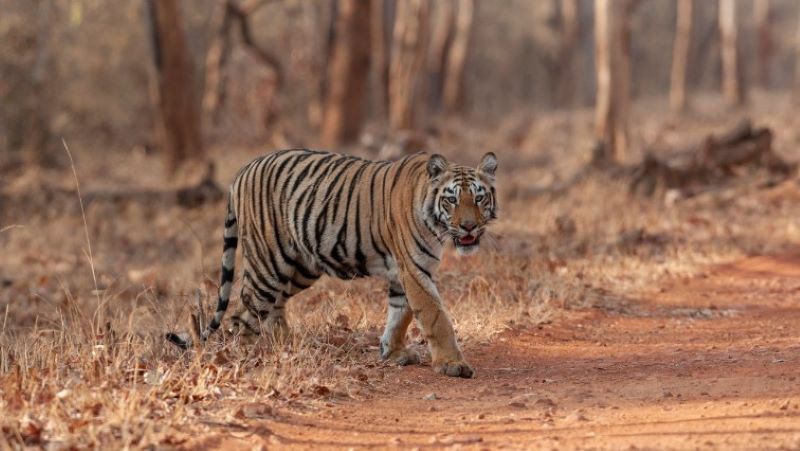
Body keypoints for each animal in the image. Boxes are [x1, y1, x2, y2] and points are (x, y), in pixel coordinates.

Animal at [166, 148, 496, 378]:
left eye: (479, 198)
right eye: (452, 200)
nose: (468, 227)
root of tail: (244, 170)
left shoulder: (402, 272)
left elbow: (399, 314)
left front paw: (393, 353)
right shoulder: (415, 270)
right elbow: (436, 317)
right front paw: (453, 365)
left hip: (299, 266)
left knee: (271, 307)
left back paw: (284, 345)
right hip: (268, 263)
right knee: (243, 315)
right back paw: (251, 358)